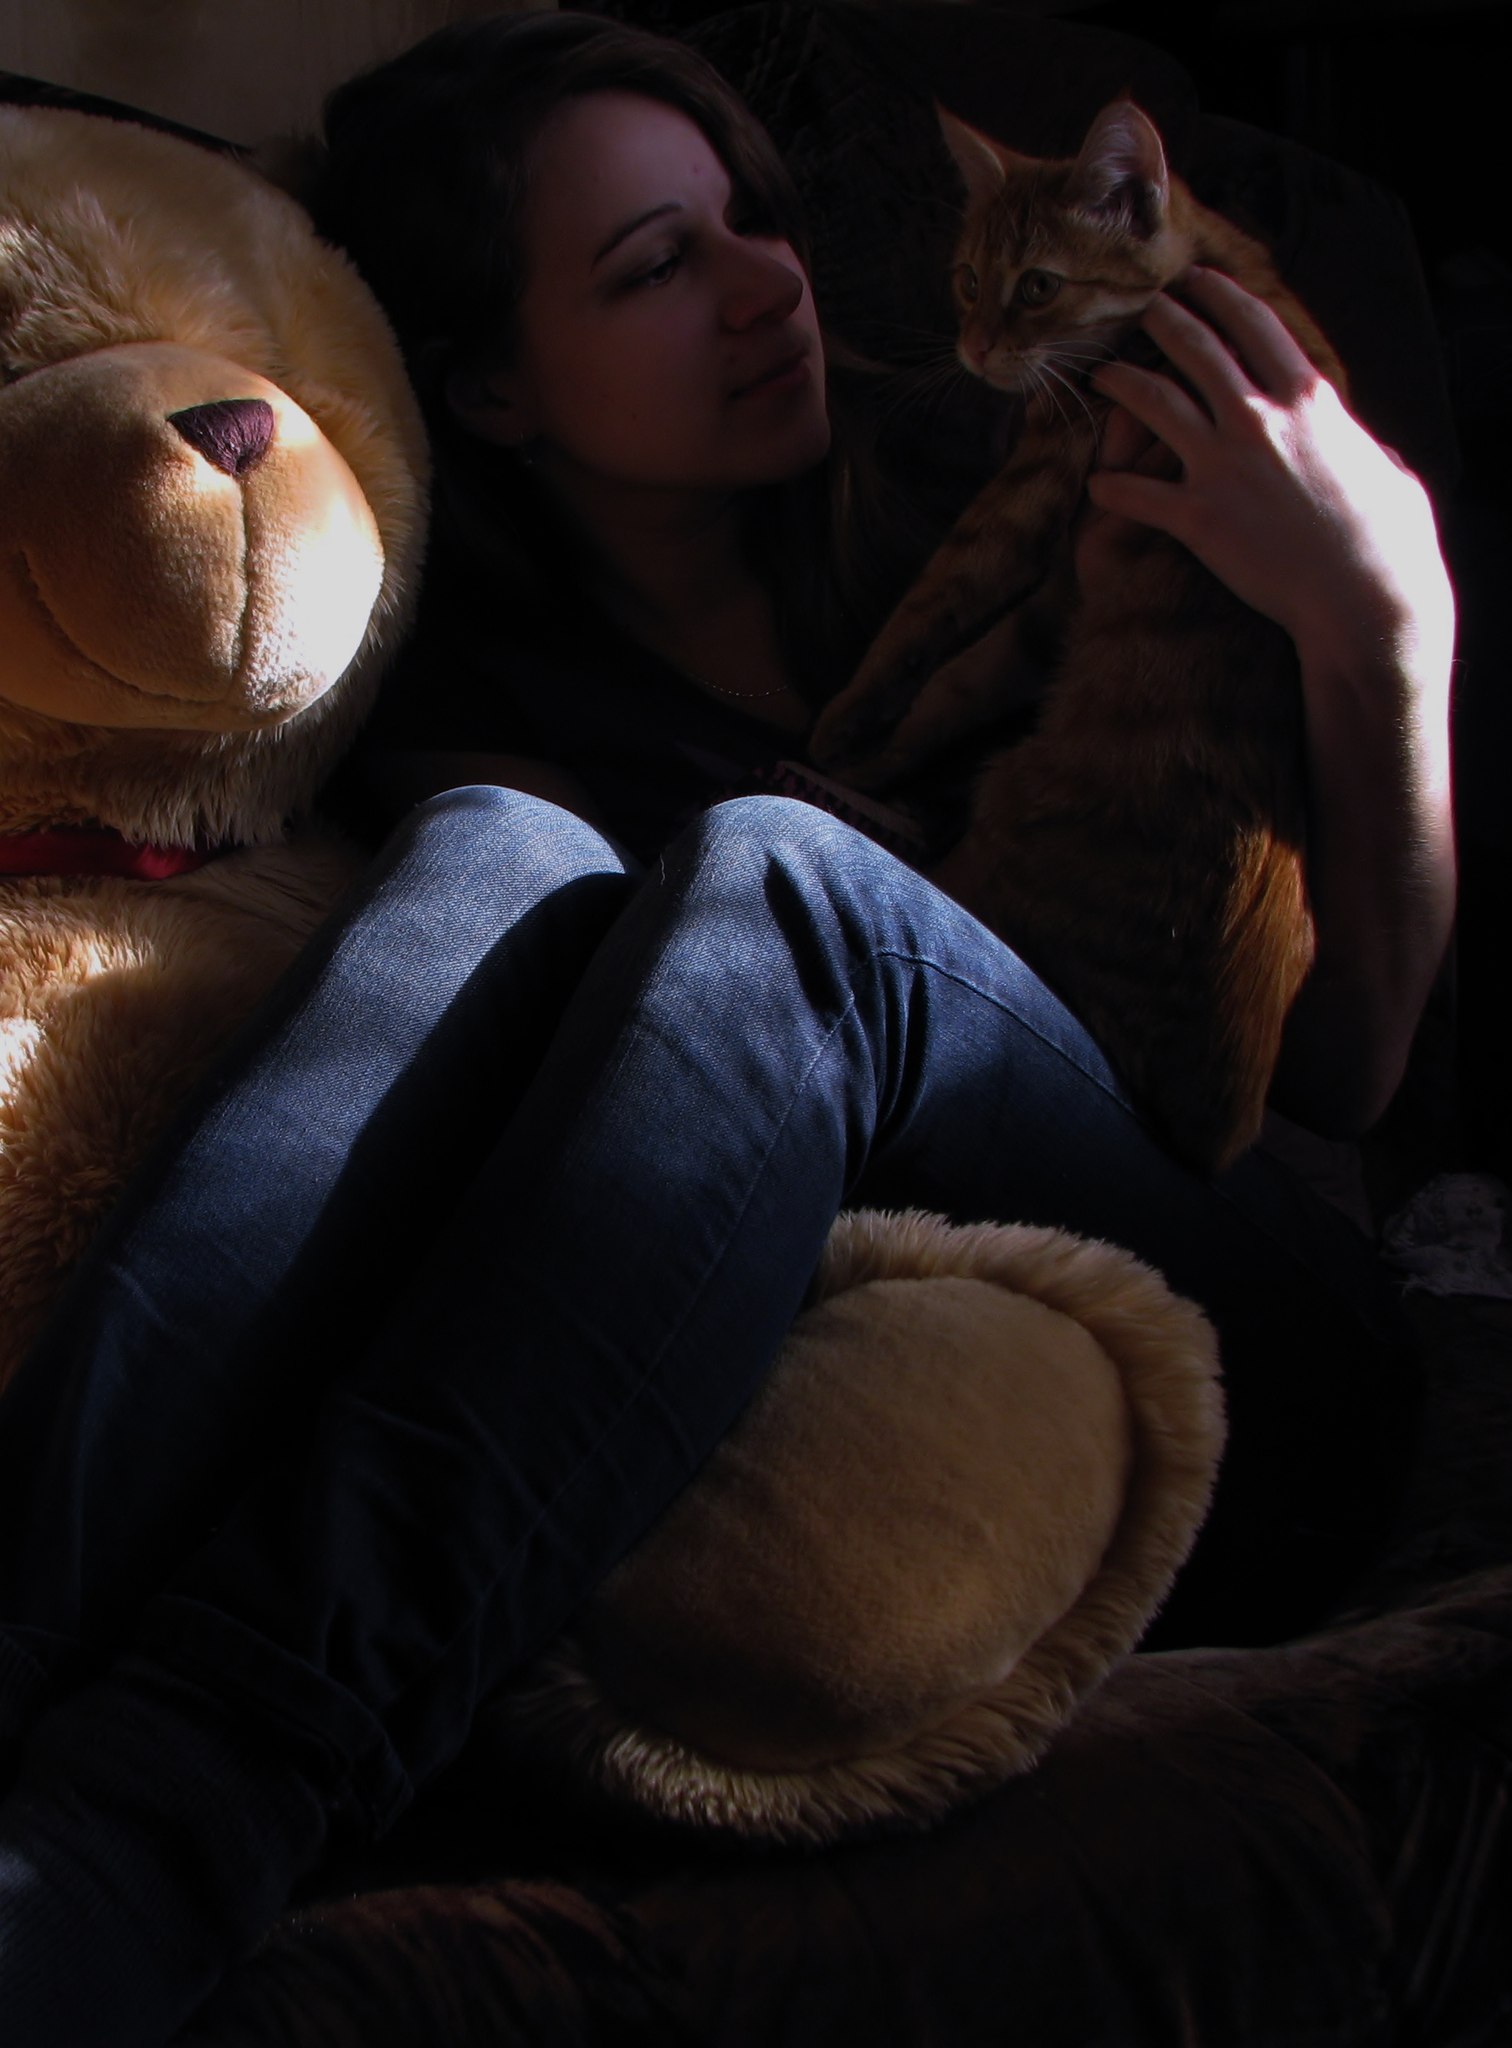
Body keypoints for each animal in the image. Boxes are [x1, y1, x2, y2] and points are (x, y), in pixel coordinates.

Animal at [810, 99, 1344, 1172]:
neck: (1195, 275)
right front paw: (875, 755)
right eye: (971, 279)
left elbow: (919, 621)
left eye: (1039, 286)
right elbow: (952, 683)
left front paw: (840, 725)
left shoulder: (1024, 498)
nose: (974, 348)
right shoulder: (1055, 591)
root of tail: (1221, 1128)